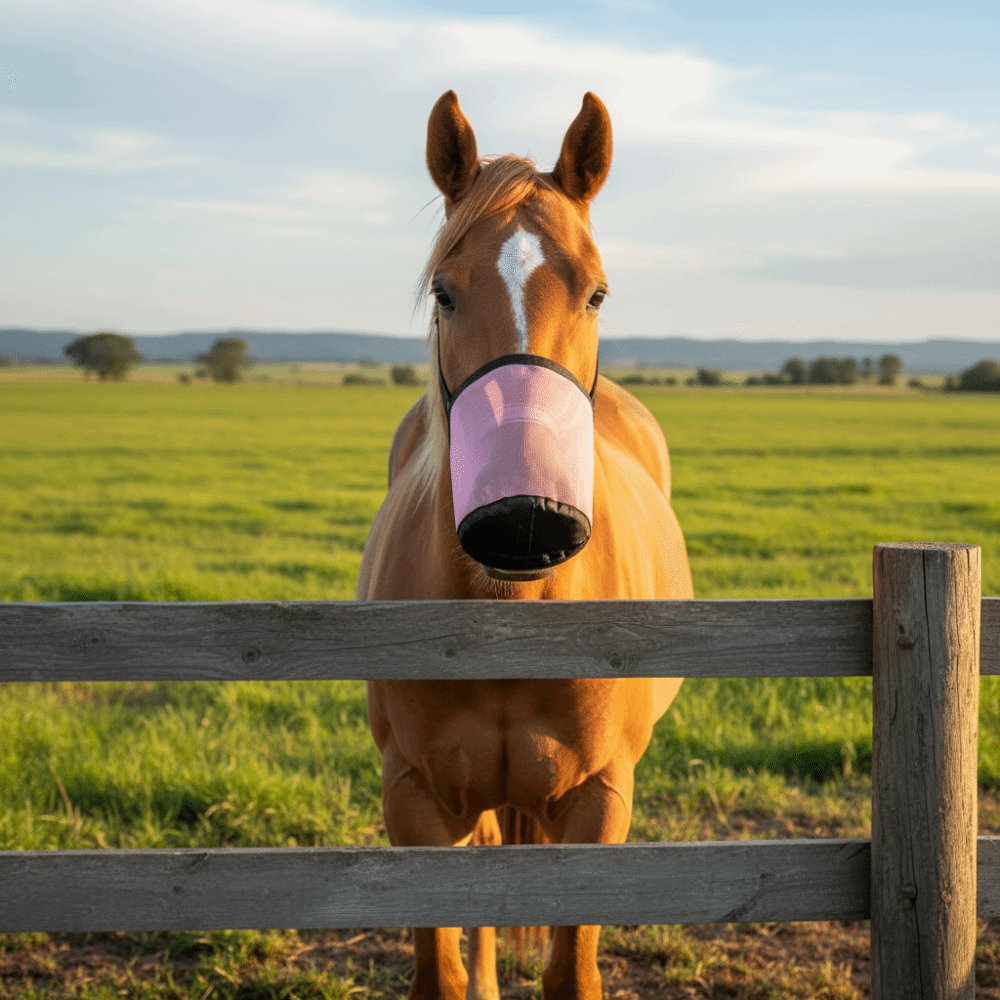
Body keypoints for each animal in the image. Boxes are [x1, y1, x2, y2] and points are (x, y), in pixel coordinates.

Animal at [358, 90, 692, 1000]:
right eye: (443, 292)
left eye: (597, 293)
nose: (525, 517)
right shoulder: (415, 799)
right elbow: (442, 968)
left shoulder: (599, 800)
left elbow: (571, 971)